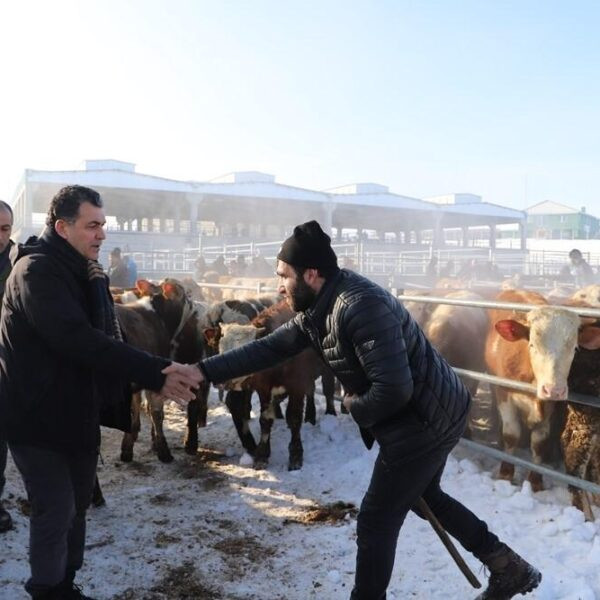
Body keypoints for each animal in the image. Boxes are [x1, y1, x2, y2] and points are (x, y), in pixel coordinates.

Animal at [486, 290, 600, 492]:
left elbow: (540, 443)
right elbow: (511, 435)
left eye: (575, 348)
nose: (554, 390)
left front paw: (535, 481)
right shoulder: (504, 395)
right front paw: (506, 473)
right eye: (532, 345)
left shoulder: (550, 407)